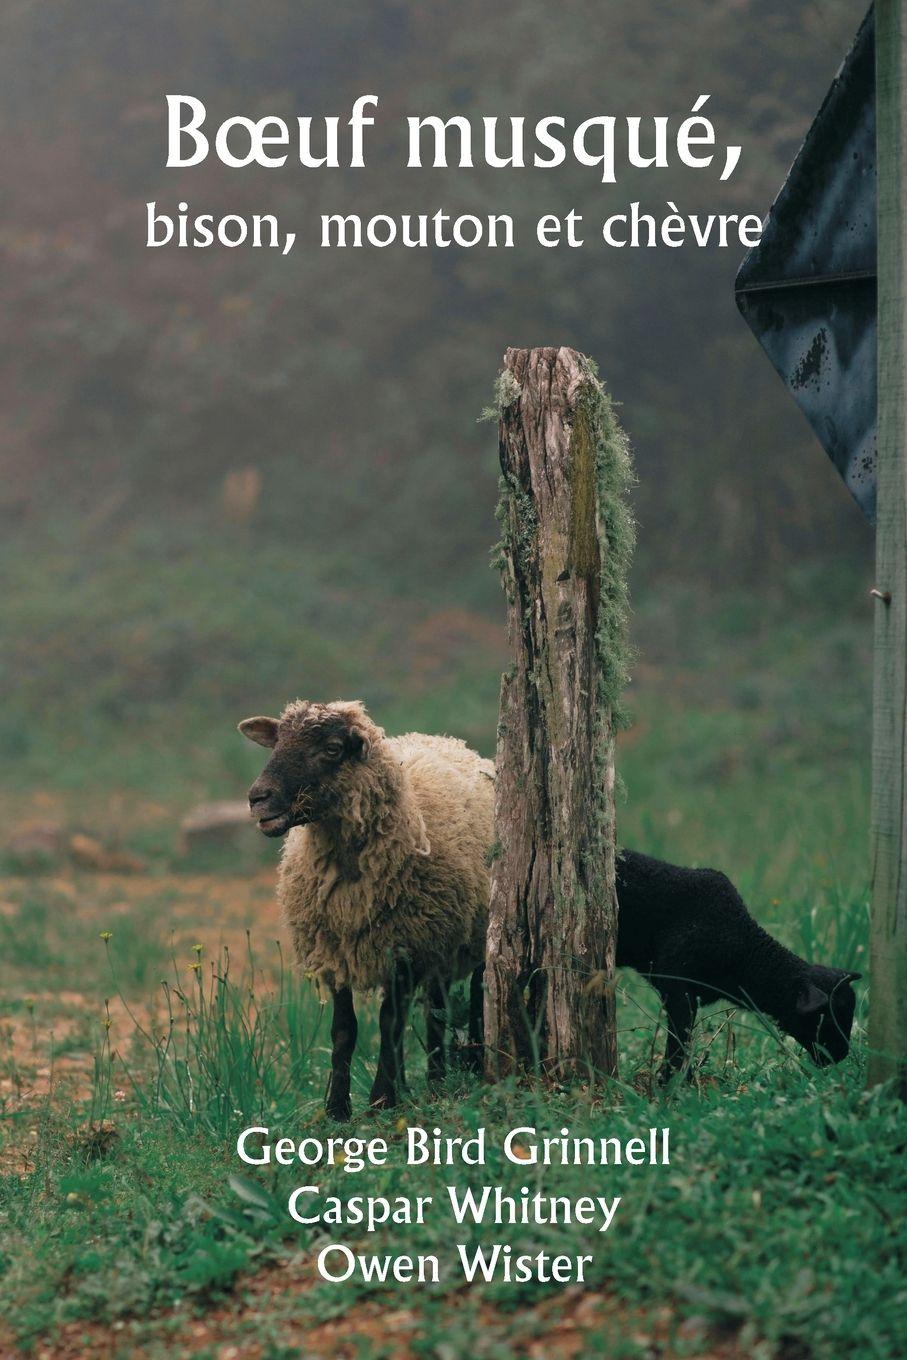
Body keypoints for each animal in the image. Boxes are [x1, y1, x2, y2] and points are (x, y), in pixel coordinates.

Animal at [239, 699, 494, 1119]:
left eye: (332, 748)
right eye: (277, 741)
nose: (258, 797)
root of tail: (447, 740)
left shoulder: (407, 947)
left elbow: (389, 1022)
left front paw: (381, 1100)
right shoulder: (336, 948)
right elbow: (345, 1030)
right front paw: (337, 1108)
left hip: (468, 934)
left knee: (472, 997)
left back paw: (457, 1071)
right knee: (434, 1008)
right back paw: (423, 1081)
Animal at [615, 848, 861, 1078]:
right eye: (824, 1017)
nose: (841, 1055)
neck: (742, 950)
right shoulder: (676, 987)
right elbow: (679, 1039)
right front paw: (673, 1081)